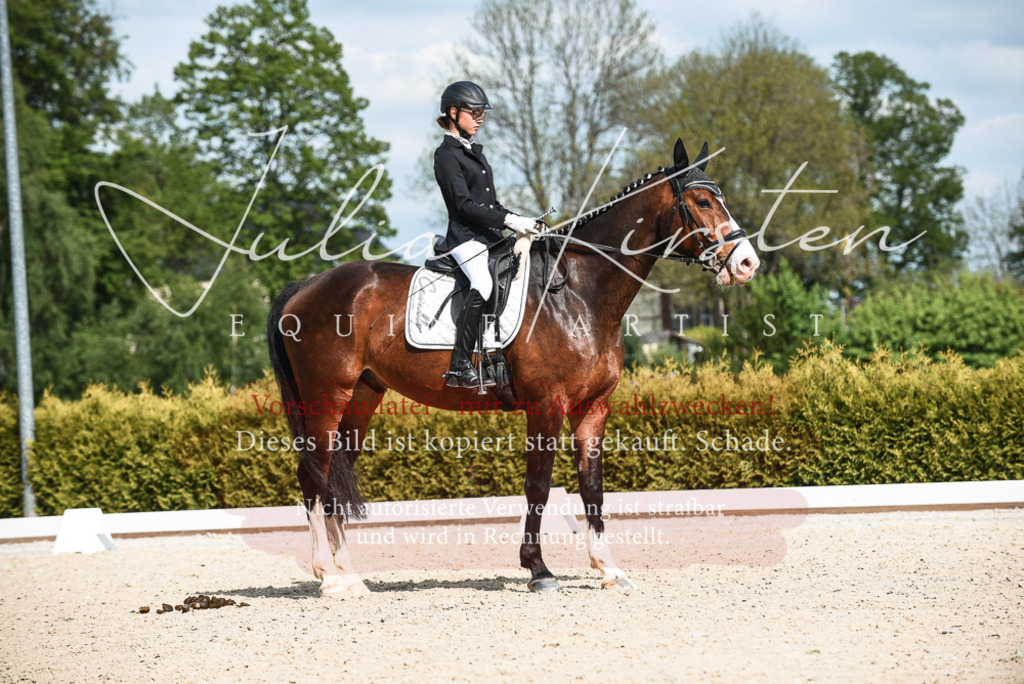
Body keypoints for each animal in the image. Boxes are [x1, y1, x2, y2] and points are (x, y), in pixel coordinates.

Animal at [266, 139, 760, 596]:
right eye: (702, 202)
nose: (747, 263)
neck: (578, 293)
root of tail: (305, 285)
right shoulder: (547, 404)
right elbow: (538, 486)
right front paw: (538, 570)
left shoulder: (593, 407)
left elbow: (593, 487)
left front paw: (608, 569)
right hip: (326, 395)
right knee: (313, 474)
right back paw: (328, 577)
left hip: (363, 395)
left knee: (334, 475)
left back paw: (350, 575)